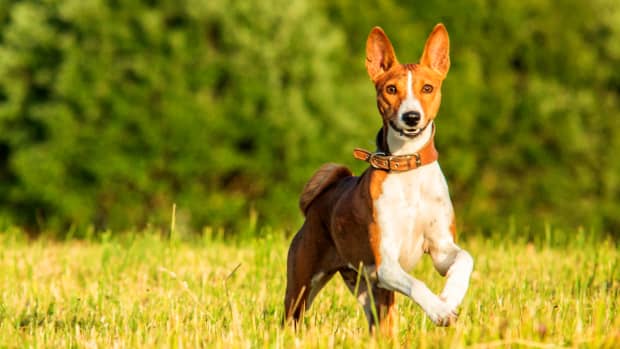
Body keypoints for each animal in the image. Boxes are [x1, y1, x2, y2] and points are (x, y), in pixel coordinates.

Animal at [286, 23, 474, 334]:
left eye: (427, 88)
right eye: (391, 89)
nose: (411, 116)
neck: (407, 168)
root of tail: (319, 202)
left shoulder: (440, 249)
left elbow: (464, 260)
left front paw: (449, 297)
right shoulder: (386, 263)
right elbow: (418, 284)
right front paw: (438, 310)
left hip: (370, 292)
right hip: (303, 288)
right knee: (290, 319)